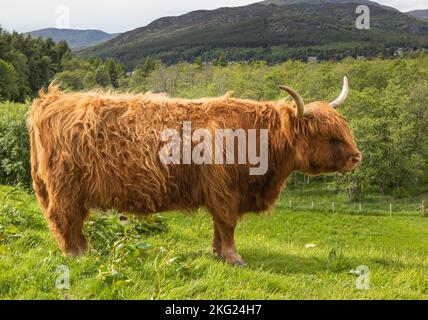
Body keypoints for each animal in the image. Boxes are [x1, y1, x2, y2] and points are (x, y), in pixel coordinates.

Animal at [28, 77, 360, 264]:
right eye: (328, 135)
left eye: (344, 129)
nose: (357, 157)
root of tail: (51, 99)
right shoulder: (226, 191)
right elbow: (227, 225)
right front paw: (234, 257)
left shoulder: (220, 191)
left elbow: (219, 226)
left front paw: (218, 253)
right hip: (64, 187)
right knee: (63, 218)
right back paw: (75, 255)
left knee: (74, 221)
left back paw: (86, 250)